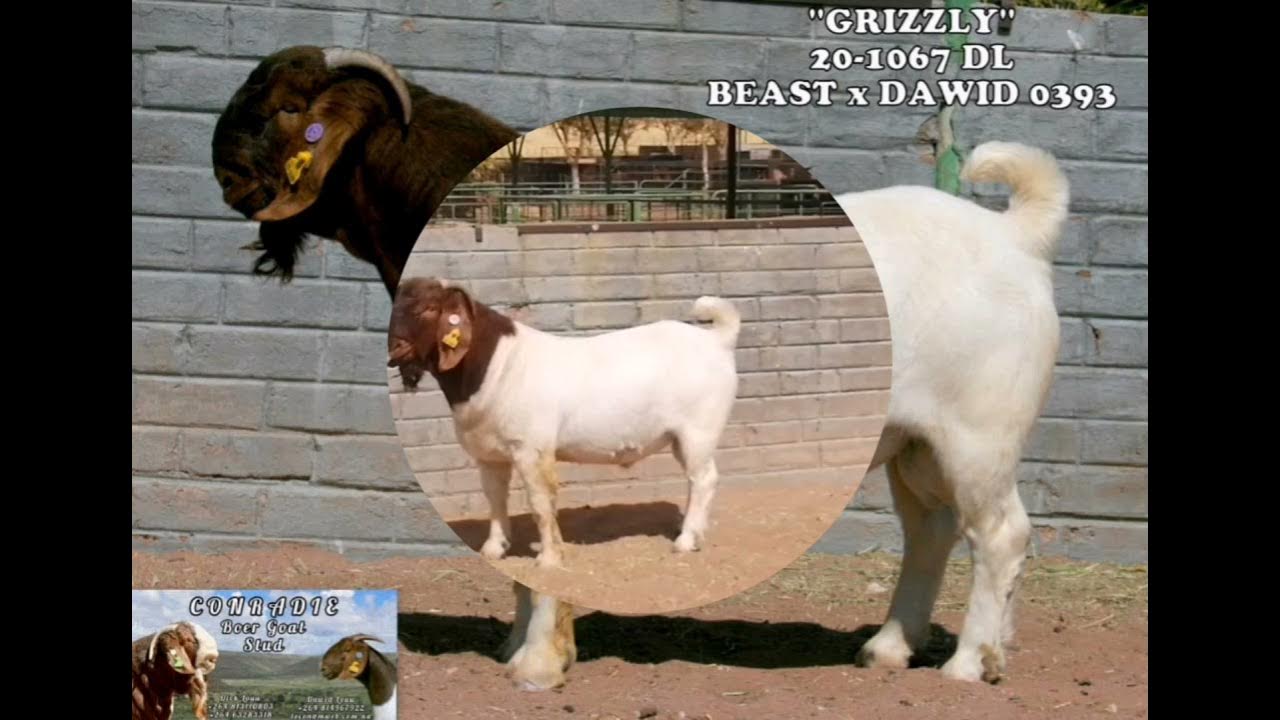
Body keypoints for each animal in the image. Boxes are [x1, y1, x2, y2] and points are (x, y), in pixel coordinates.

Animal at [387, 278, 741, 568]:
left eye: (430, 308)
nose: (395, 348)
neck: (497, 366)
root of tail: (717, 340)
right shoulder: (489, 454)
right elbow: (495, 497)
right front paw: (494, 549)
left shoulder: (532, 448)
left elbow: (541, 501)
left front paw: (549, 559)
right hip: (682, 437)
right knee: (698, 480)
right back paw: (691, 532)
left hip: (699, 430)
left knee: (704, 478)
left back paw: (685, 541)